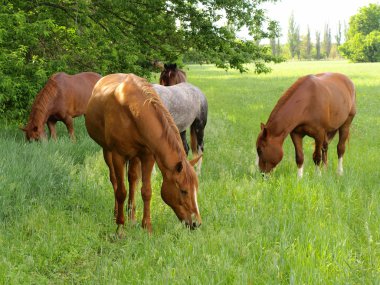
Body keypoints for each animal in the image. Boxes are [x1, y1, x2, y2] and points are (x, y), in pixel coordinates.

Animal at [85, 73, 202, 235]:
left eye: (196, 189)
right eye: (184, 191)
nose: (197, 223)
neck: (133, 109)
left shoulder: (147, 156)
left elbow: (146, 191)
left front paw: (147, 227)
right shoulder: (118, 156)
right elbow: (121, 192)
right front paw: (120, 229)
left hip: (135, 157)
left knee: (133, 180)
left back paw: (132, 217)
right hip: (107, 152)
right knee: (114, 181)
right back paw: (117, 213)